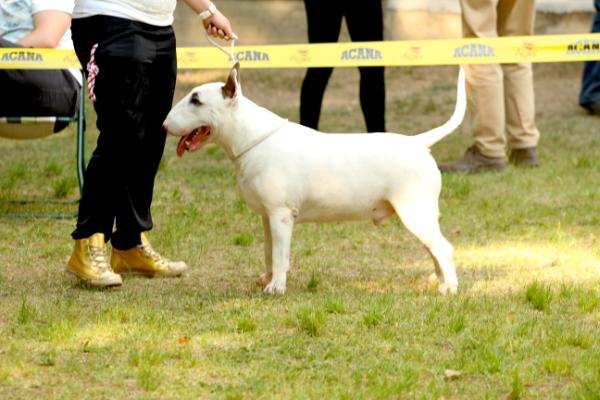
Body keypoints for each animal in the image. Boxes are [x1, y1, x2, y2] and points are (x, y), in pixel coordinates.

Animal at [163, 62, 464, 294]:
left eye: (196, 100)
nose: (164, 125)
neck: (252, 137)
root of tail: (418, 142)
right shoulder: (268, 216)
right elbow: (269, 252)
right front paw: (267, 279)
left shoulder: (282, 215)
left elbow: (280, 254)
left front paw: (276, 288)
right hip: (421, 216)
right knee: (434, 249)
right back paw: (438, 281)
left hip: (415, 211)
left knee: (444, 248)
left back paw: (449, 288)